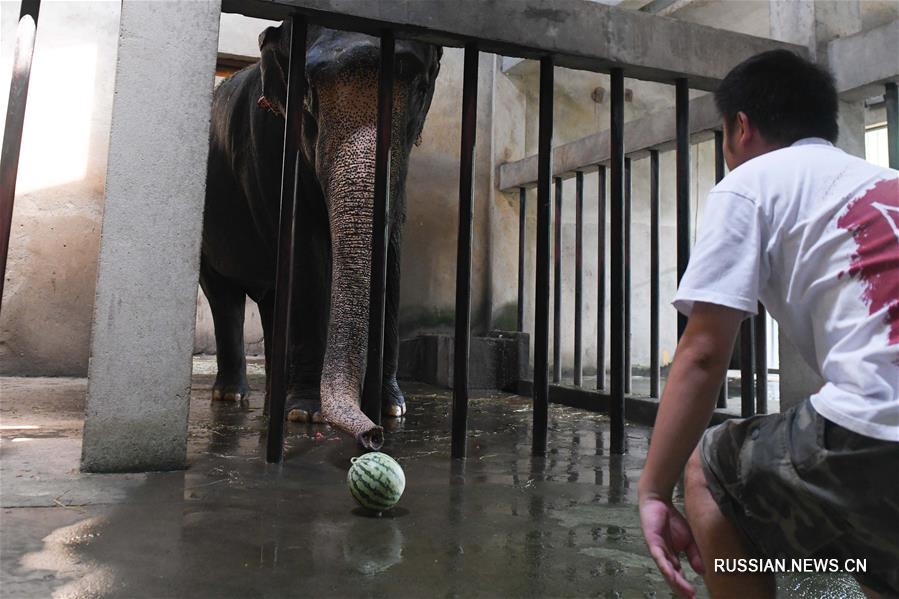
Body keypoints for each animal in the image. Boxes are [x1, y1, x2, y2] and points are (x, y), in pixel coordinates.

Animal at [202, 23, 444, 450]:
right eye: (307, 93)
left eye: (419, 87)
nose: (373, 437)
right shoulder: (270, 148)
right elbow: (306, 253)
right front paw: (305, 412)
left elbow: (391, 248)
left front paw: (391, 408)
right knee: (224, 295)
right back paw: (234, 396)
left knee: (271, 299)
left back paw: (272, 399)